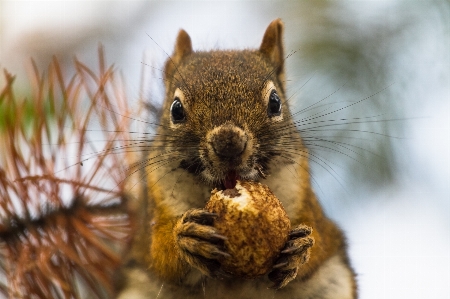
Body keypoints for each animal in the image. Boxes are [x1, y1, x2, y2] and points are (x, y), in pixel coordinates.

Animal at [117, 18, 358, 299]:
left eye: (275, 102)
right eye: (176, 109)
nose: (229, 144)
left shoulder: (307, 204)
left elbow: (320, 242)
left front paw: (301, 249)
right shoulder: (154, 212)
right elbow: (158, 253)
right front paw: (185, 239)